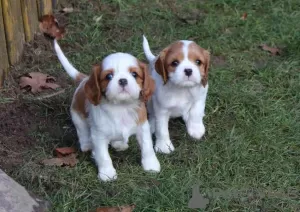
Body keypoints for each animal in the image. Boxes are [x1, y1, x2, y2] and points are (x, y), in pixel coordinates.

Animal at [54, 39, 162, 181]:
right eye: (109, 76)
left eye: (134, 74)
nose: (123, 80)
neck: (121, 107)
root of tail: (84, 80)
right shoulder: (98, 135)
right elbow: (103, 156)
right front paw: (107, 174)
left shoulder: (142, 127)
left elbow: (147, 147)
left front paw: (151, 165)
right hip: (77, 116)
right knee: (82, 132)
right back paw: (88, 145)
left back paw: (119, 144)